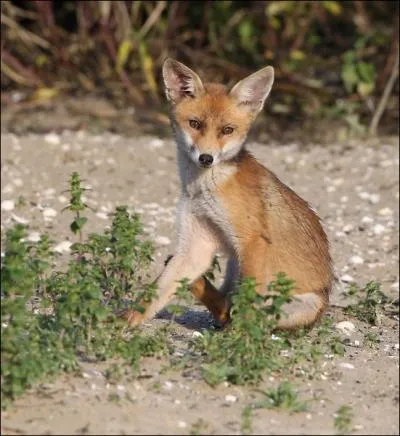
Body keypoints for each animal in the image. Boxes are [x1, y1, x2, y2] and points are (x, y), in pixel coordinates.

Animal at [124, 58, 332, 330]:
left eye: (227, 130)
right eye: (195, 124)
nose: (206, 158)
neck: (204, 190)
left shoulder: (253, 241)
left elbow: (248, 305)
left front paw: (240, 337)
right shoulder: (197, 242)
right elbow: (156, 293)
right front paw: (125, 321)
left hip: (293, 300)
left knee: (243, 313)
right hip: (234, 264)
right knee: (224, 309)